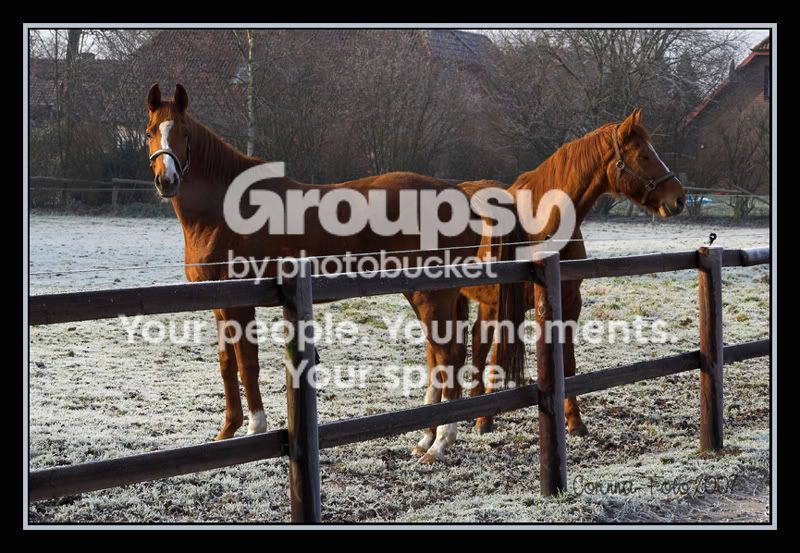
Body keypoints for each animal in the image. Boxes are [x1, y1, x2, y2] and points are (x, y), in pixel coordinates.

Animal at [144, 83, 526, 464]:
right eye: (150, 132)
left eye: (184, 133)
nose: (167, 180)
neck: (224, 211)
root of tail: (459, 194)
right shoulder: (218, 304)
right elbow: (227, 365)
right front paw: (227, 432)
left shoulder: (240, 305)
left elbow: (247, 363)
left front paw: (254, 429)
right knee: (438, 355)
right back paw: (425, 436)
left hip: (432, 294)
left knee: (449, 355)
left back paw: (441, 442)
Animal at [458, 108, 686, 436]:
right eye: (644, 156)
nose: (679, 199)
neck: (540, 224)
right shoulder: (510, 307)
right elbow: (500, 357)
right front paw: (486, 420)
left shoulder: (569, 304)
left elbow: (568, 364)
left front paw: (575, 420)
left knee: (478, 342)